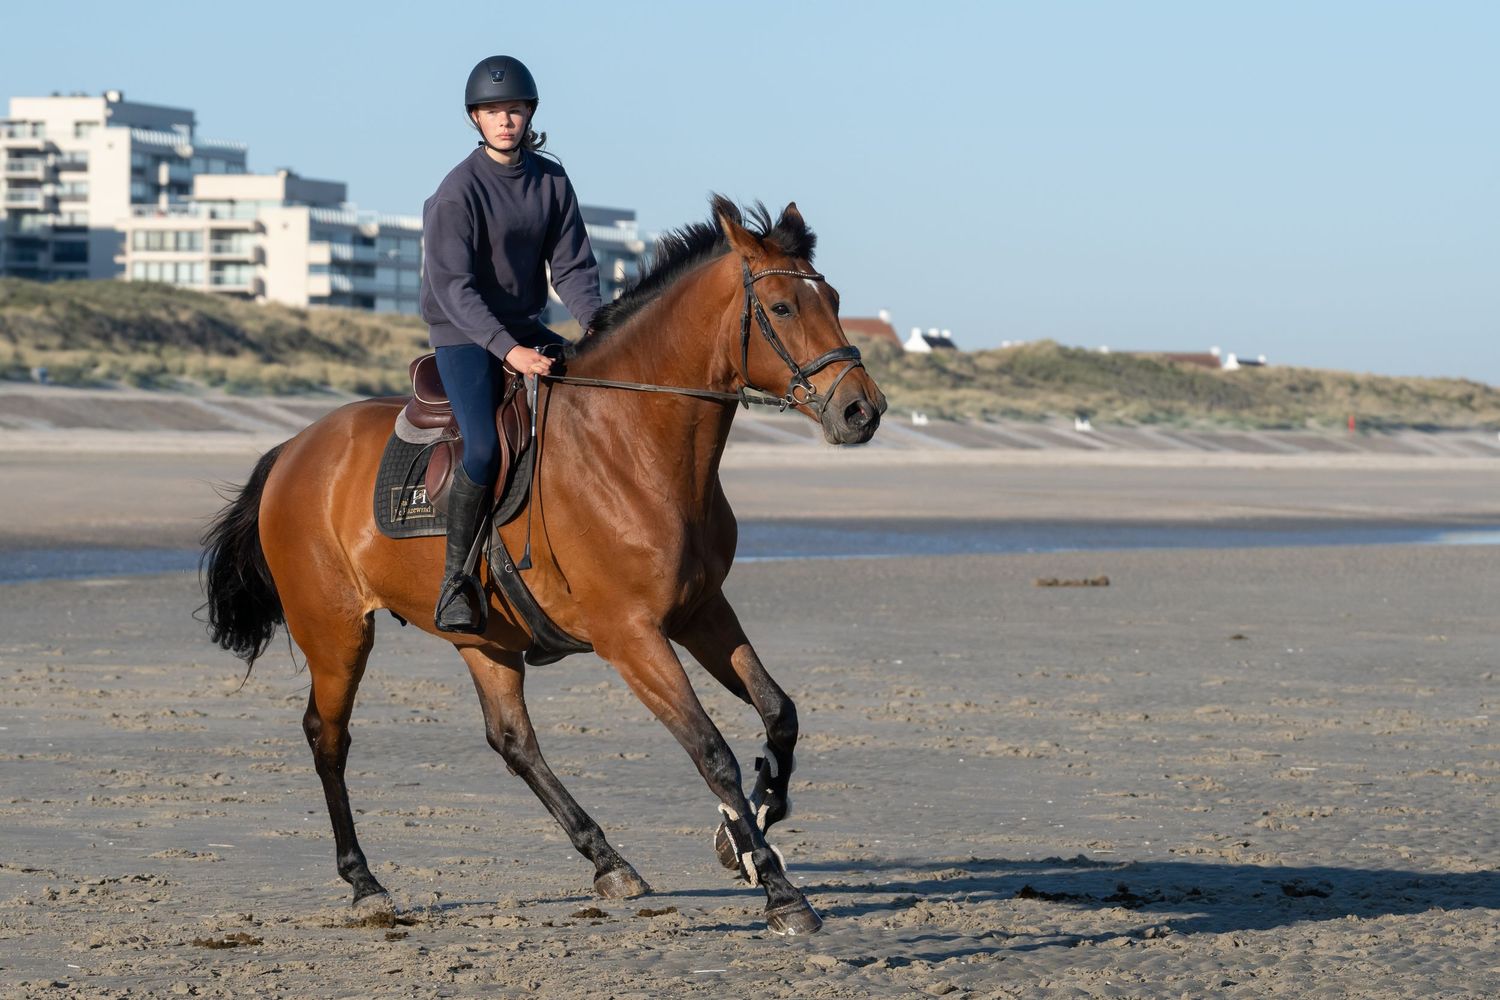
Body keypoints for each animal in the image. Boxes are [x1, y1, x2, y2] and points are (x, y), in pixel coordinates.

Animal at [200, 196, 886, 936]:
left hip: (484, 638)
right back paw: (364, 883)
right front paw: (778, 888)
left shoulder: (701, 611)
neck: (634, 441)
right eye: (783, 308)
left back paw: (608, 860)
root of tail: (294, 450)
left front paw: (746, 834)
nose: (863, 410)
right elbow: (712, 752)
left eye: (833, 300)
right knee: (328, 739)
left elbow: (779, 713)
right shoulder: (631, 636)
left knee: (513, 742)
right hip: (335, 631)